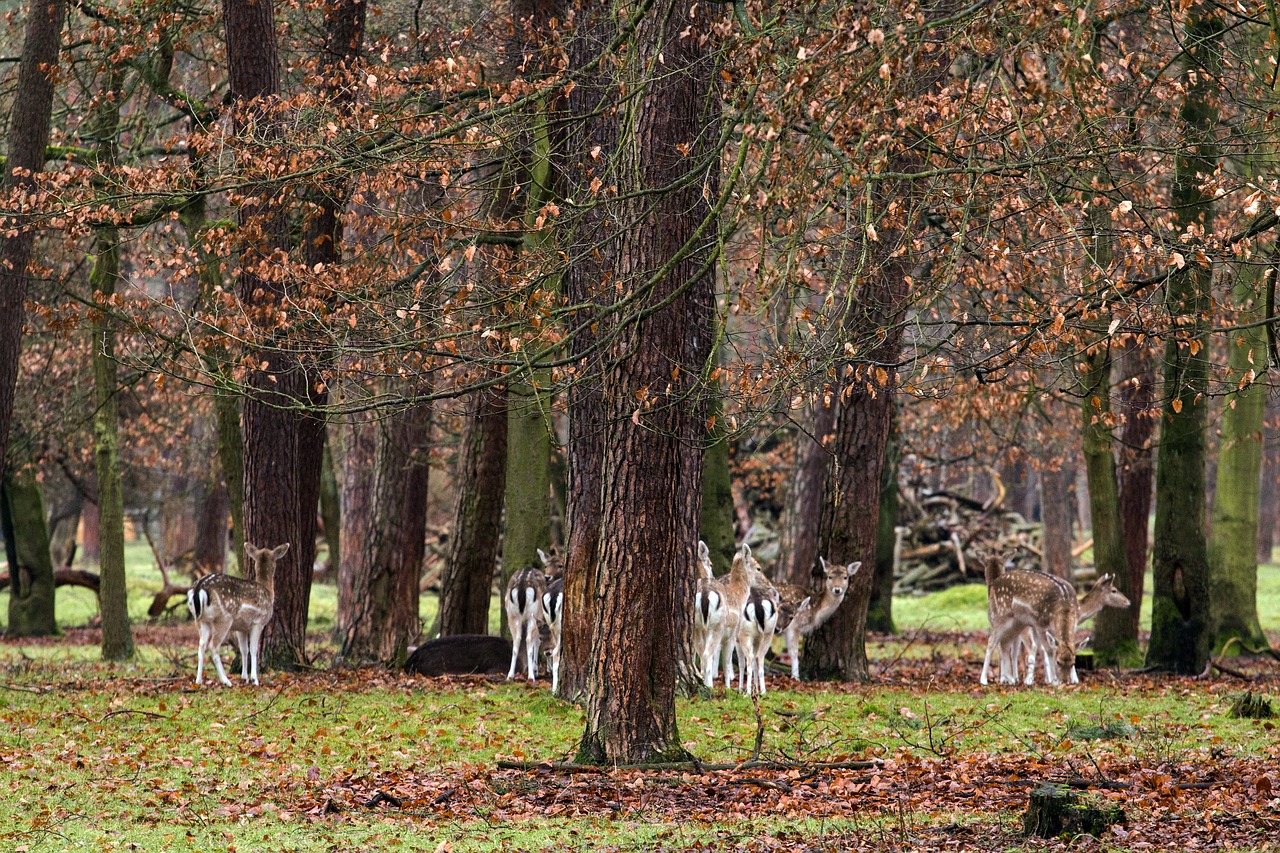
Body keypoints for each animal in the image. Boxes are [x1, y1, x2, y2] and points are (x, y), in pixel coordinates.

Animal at [186, 540, 289, 686]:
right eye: (275, 559)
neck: (268, 592)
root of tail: (199, 588)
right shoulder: (258, 622)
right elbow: (253, 650)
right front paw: (255, 679)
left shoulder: (241, 627)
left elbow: (244, 650)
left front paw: (244, 677)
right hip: (224, 618)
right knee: (213, 646)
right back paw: (226, 681)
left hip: (201, 620)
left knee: (201, 645)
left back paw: (198, 680)